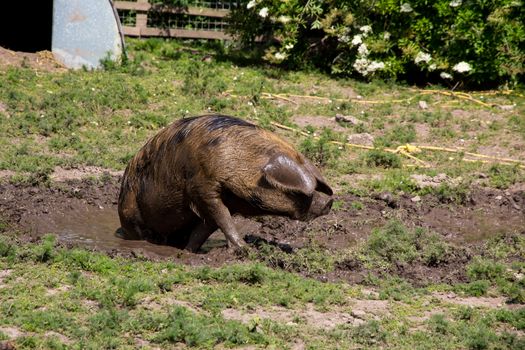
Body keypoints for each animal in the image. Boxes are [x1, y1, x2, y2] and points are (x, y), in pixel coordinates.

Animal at [117, 115, 332, 252]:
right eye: (296, 193)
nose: (329, 202)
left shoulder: (226, 200)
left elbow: (208, 226)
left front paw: (188, 252)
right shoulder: (201, 186)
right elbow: (222, 217)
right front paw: (245, 249)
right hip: (130, 212)